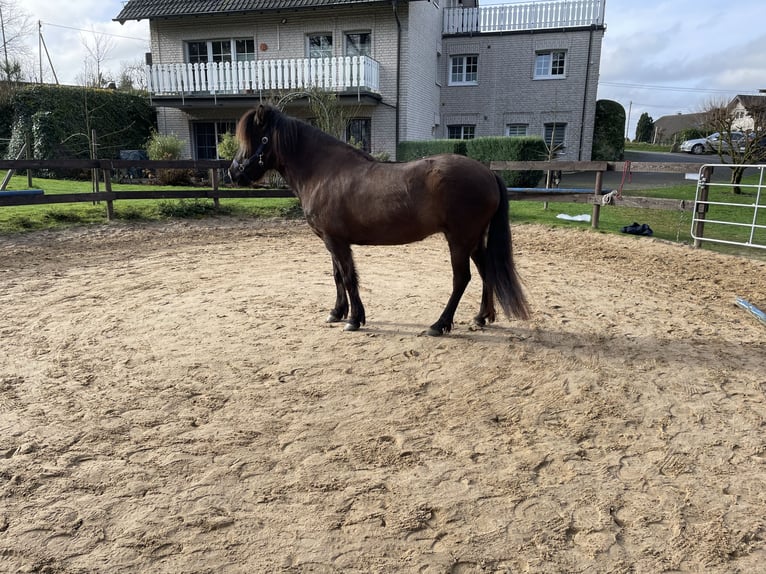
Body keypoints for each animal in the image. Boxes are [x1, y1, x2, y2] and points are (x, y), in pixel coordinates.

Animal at [228, 106, 528, 336]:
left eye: (258, 139)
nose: (233, 173)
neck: (324, 172)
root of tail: (488, 173)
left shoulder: (337, 241)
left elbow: (348, 276)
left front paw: (354, 319)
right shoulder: (331, 241)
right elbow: (337, 275)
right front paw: (336, 312)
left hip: (459, 240)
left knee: (462, 278)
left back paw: (439, 325)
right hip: (474, 239)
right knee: (486, 271)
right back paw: (481, 317)